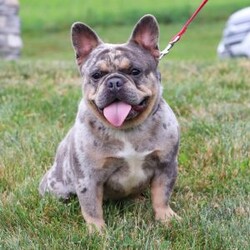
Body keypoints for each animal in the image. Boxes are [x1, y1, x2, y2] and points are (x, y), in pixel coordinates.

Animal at [38, 14, 180, 231]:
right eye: (96, 75)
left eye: (135, 71)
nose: (114, 82)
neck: (127, 129)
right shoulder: (88, 179)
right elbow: (92, 209)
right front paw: (98, 232)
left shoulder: (166, 166)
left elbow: (161, 195)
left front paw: (166, 218)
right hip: (58, 187)